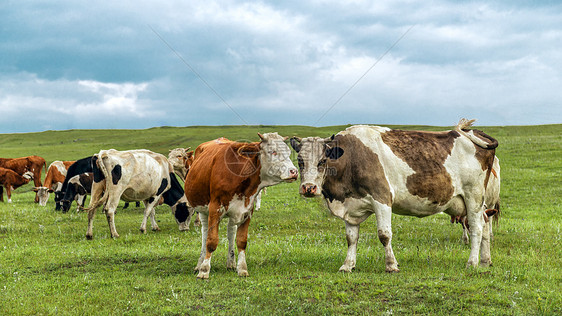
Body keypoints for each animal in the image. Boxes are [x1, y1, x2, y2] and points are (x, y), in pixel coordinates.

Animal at [185, 133, 298, 278]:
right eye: (272, 151)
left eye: (289, 152)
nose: (294, 171)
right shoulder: (215, 208)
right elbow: (211, 240)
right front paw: (204, 270)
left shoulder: (247, 210)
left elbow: (241, 241)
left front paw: (242, 268)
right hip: (203, 210)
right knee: (205, 234)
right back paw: (199, 264)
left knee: (231, 232)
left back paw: (231, 262)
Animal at [290, 118, 496, 272]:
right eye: (300, 161)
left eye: (323, 161)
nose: (308, 188)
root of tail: (471, 132)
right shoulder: (351, 206)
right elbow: (351, 238)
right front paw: (347, 265)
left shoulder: (381, 198)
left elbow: (384, 235)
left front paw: (391, 265)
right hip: (475, 202)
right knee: (486, 223)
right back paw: (485, 261)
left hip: (473, 196)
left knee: (477, 228)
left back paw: (472, 262)